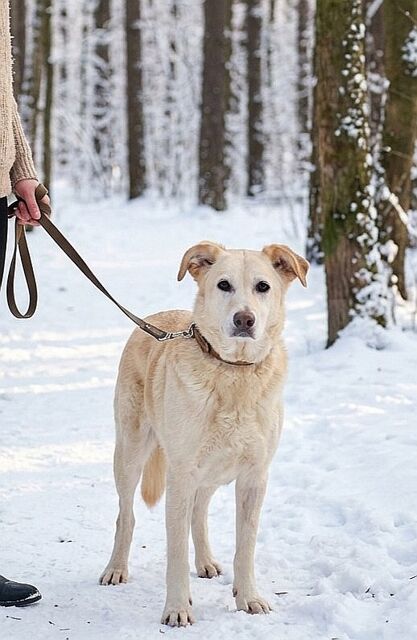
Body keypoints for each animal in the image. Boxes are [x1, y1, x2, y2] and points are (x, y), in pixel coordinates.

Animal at [100, 241, 309, 626]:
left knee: (199, 512)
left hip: (213, 471)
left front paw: (248, 597)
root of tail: (153, 320)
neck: (234, 372)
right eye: (223, 285)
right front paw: (177, 608)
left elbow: (246, 546)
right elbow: (175, 551)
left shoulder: (254, 477)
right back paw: (116, 568)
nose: (244, 320)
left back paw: (207, 562)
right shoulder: (180, 476)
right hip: (131, 452)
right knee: (126, 514)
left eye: (263, 286)